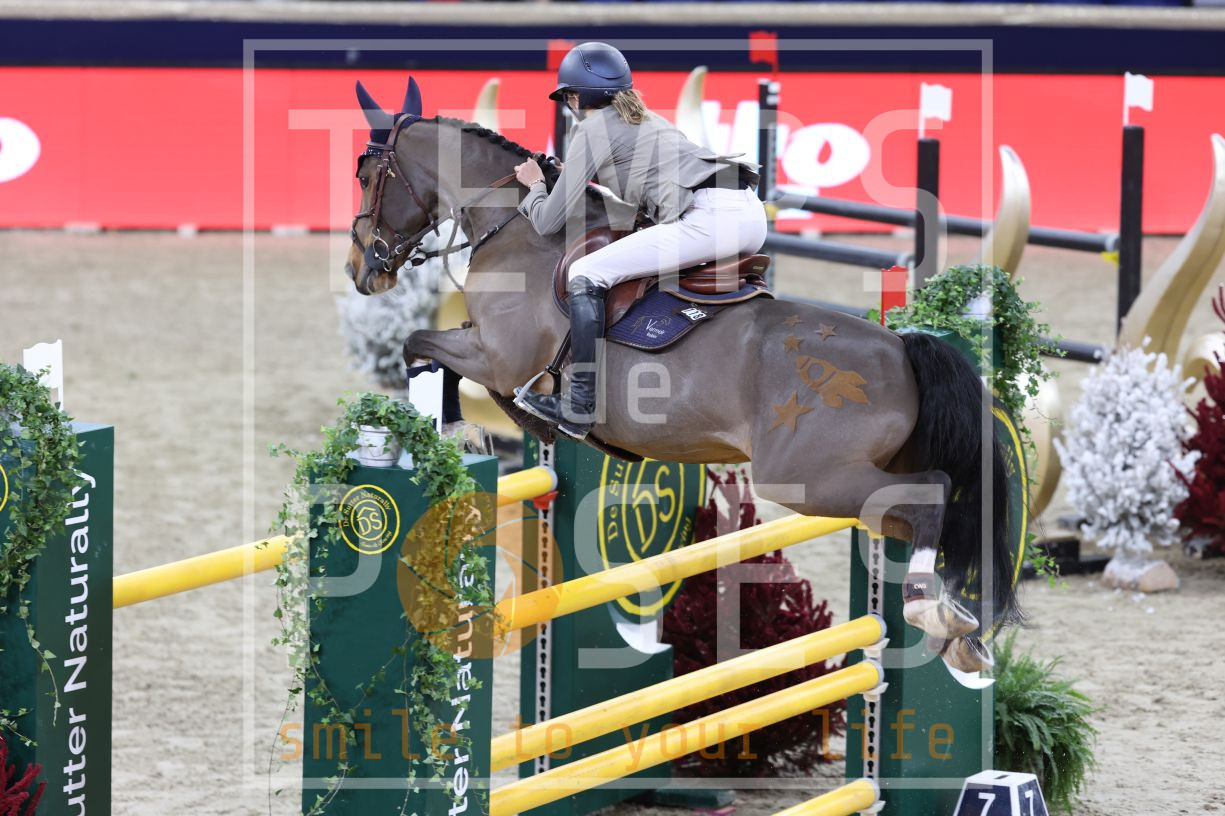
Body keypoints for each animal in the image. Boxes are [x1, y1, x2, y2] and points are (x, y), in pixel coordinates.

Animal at [344, 77, 1016, 673]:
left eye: (366, 175)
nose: (360, 269)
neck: (517, 230)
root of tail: (901, 349)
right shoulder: (489, 351)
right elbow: (441, 359)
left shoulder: (498, 355)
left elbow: (421, 347)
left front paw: (468, 429)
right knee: (921, 510)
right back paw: (957, 628)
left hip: (807, 477)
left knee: (932, 495)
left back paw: (938, 616)